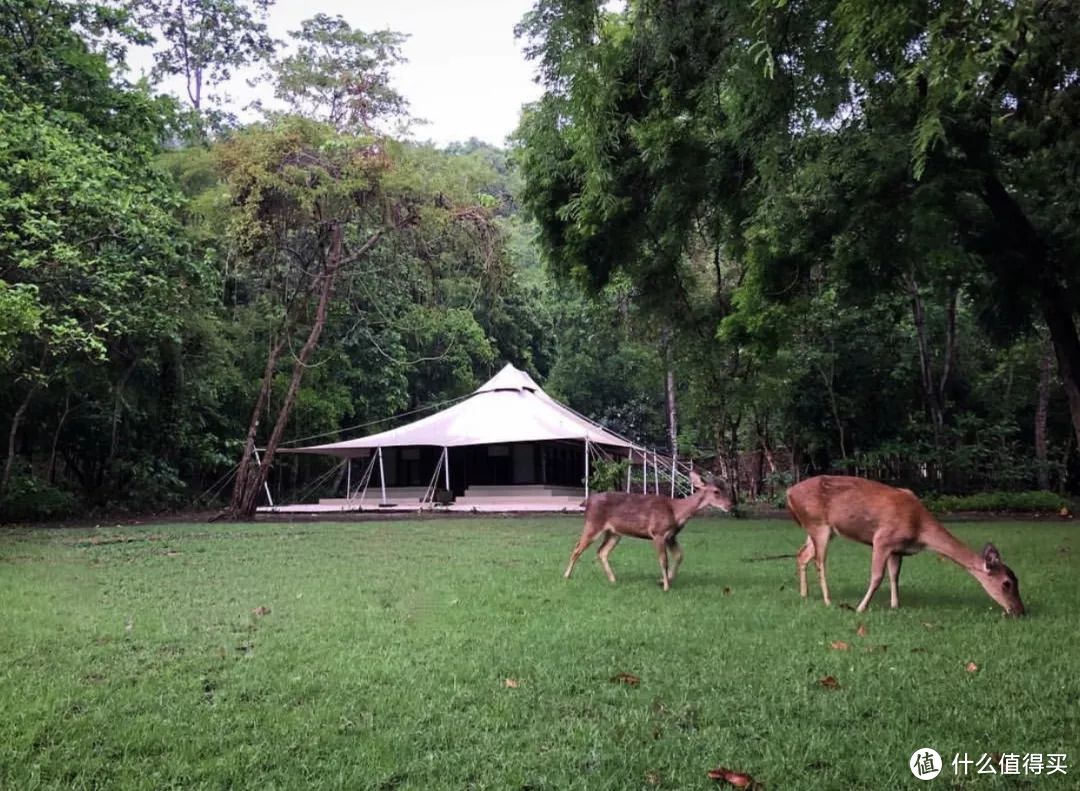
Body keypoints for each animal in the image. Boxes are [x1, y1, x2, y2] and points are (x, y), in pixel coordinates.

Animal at [565, 466, 734, 592]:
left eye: (727, 489)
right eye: (716, 491)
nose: (730, 505)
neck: (676, 511)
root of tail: (587, 502)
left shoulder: (671, 536)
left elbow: (679, 556)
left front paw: (664, 581)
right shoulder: (657, 532)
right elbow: (663, 560)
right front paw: (666, 587)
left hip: (614, 532)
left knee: (601, 552)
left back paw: (613, 579)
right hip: (593, 524)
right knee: (577, 548)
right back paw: (566, 576)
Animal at [786, 473, 1028, 613]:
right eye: (1007, 583)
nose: (1020, 611)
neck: (919, 528)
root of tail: (788, 493)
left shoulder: (897, 549)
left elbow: (894, 575)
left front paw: (895, 605)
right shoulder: (882, 539)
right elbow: (877, 576)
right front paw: (860, 608)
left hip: (821, 529)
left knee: (801, 553)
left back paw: (804, 594)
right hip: (818, 524)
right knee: (819, 561)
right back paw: (828, 600)